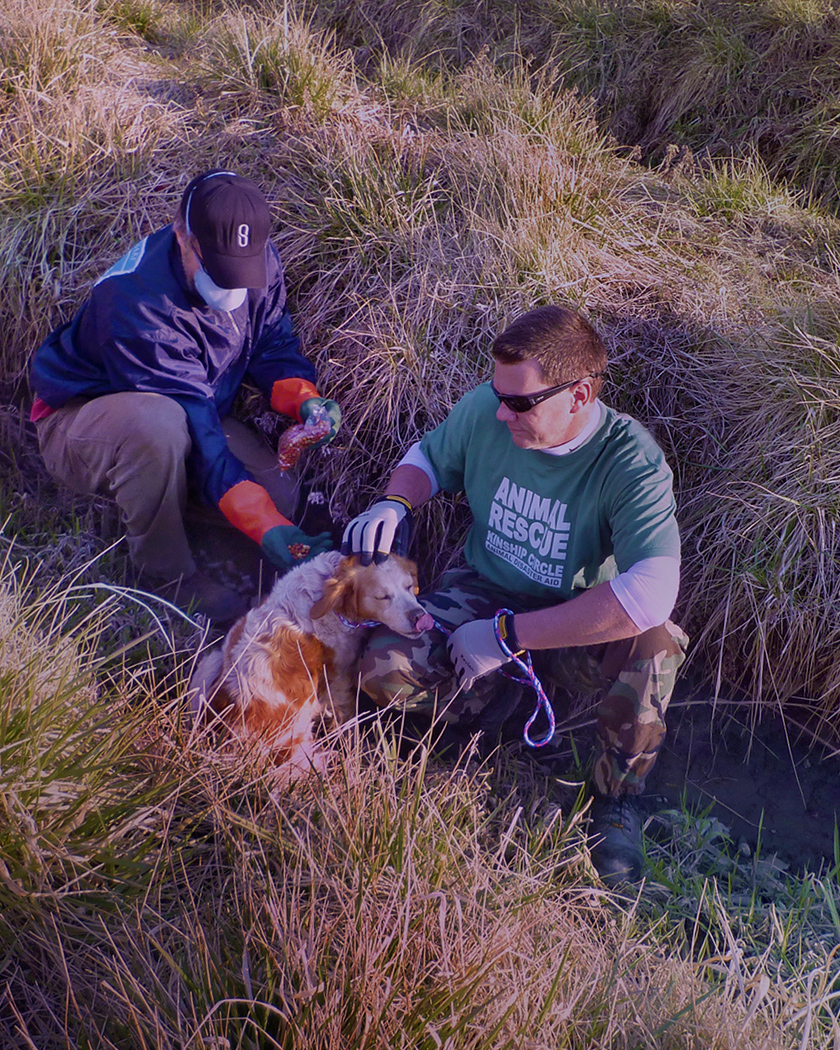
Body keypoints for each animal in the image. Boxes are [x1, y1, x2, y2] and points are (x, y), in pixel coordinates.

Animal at [188, 550, 432, 781]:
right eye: (382, 596)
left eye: (408, 587)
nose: (419, 617)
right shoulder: (339, 683)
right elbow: (347, 724)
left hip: (210, 662)